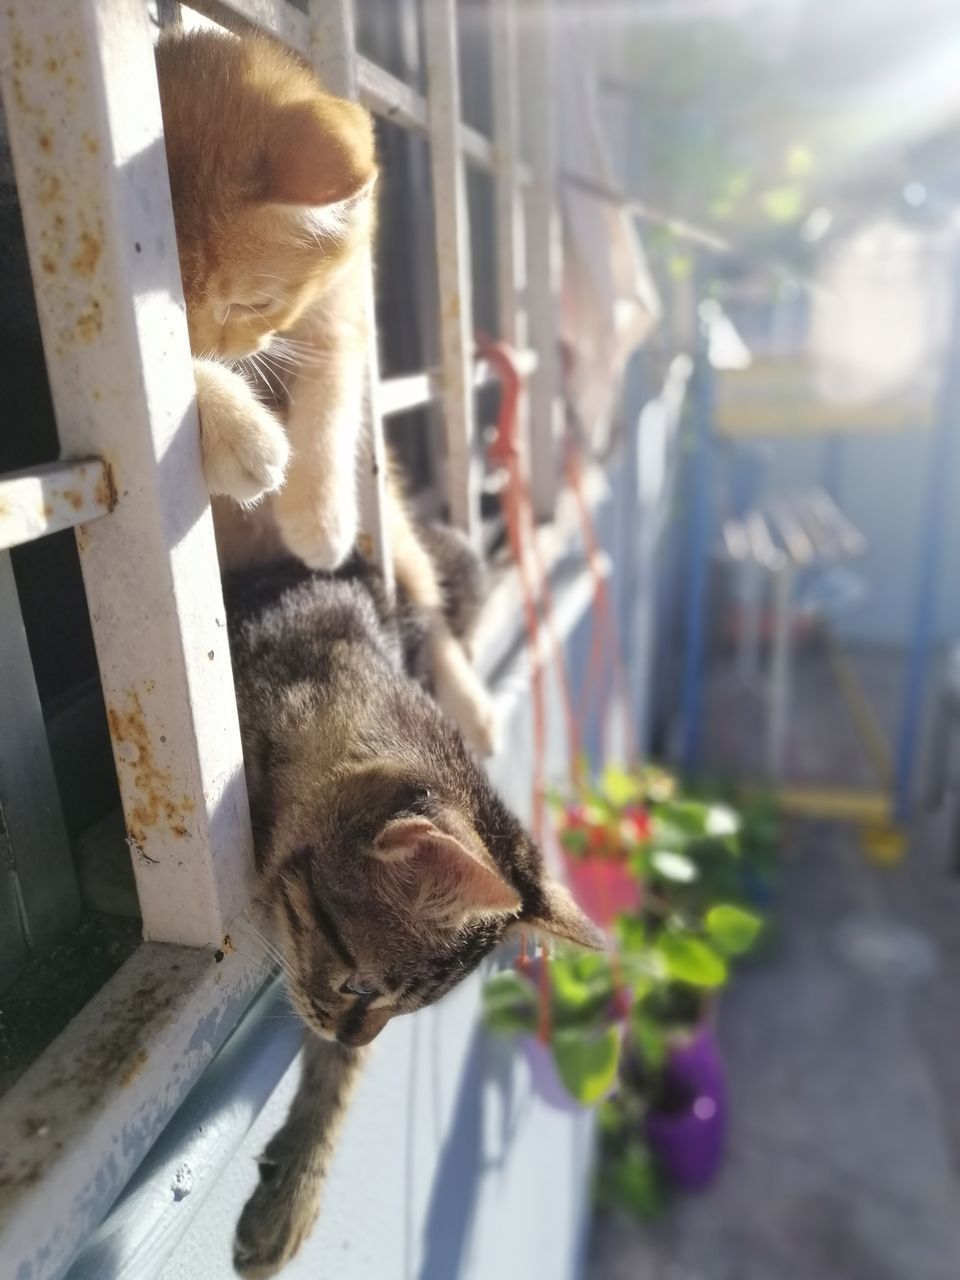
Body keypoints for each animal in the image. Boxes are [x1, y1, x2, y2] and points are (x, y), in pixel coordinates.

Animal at [154, 27, 499, 757]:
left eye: (253, 301)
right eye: (168, 315)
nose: (217, 348)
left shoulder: (343, 314)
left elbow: (333, 397)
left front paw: (320, 518)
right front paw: (238, 425)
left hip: (395, 529)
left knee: (425, 602)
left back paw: (467, 700)